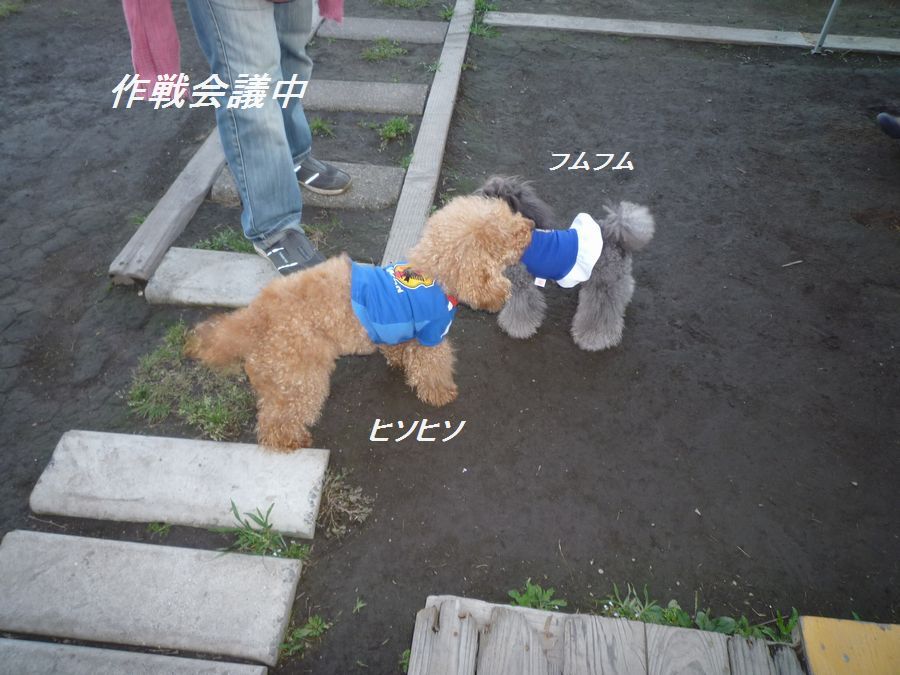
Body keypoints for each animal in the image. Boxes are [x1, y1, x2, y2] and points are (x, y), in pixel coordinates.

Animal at [186, 195, 534, 451]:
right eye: (508, 233)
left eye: (511, 215)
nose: (531, 224)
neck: (434, 272)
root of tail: (256, 316)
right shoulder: (431, 335)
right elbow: (433, 367)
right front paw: (440, 393)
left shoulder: (402, 331)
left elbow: (398, 350)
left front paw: (398, 362)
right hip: (301, 374)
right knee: (278, 419)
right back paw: (291, 440)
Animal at [478, 176, 655, 351]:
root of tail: (616, 236)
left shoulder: (522, 285)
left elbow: (521, 309)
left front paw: (515, 328)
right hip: (614, 277)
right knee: (624, 288)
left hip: (603, 283)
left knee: (601, 314)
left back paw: (594, 338)